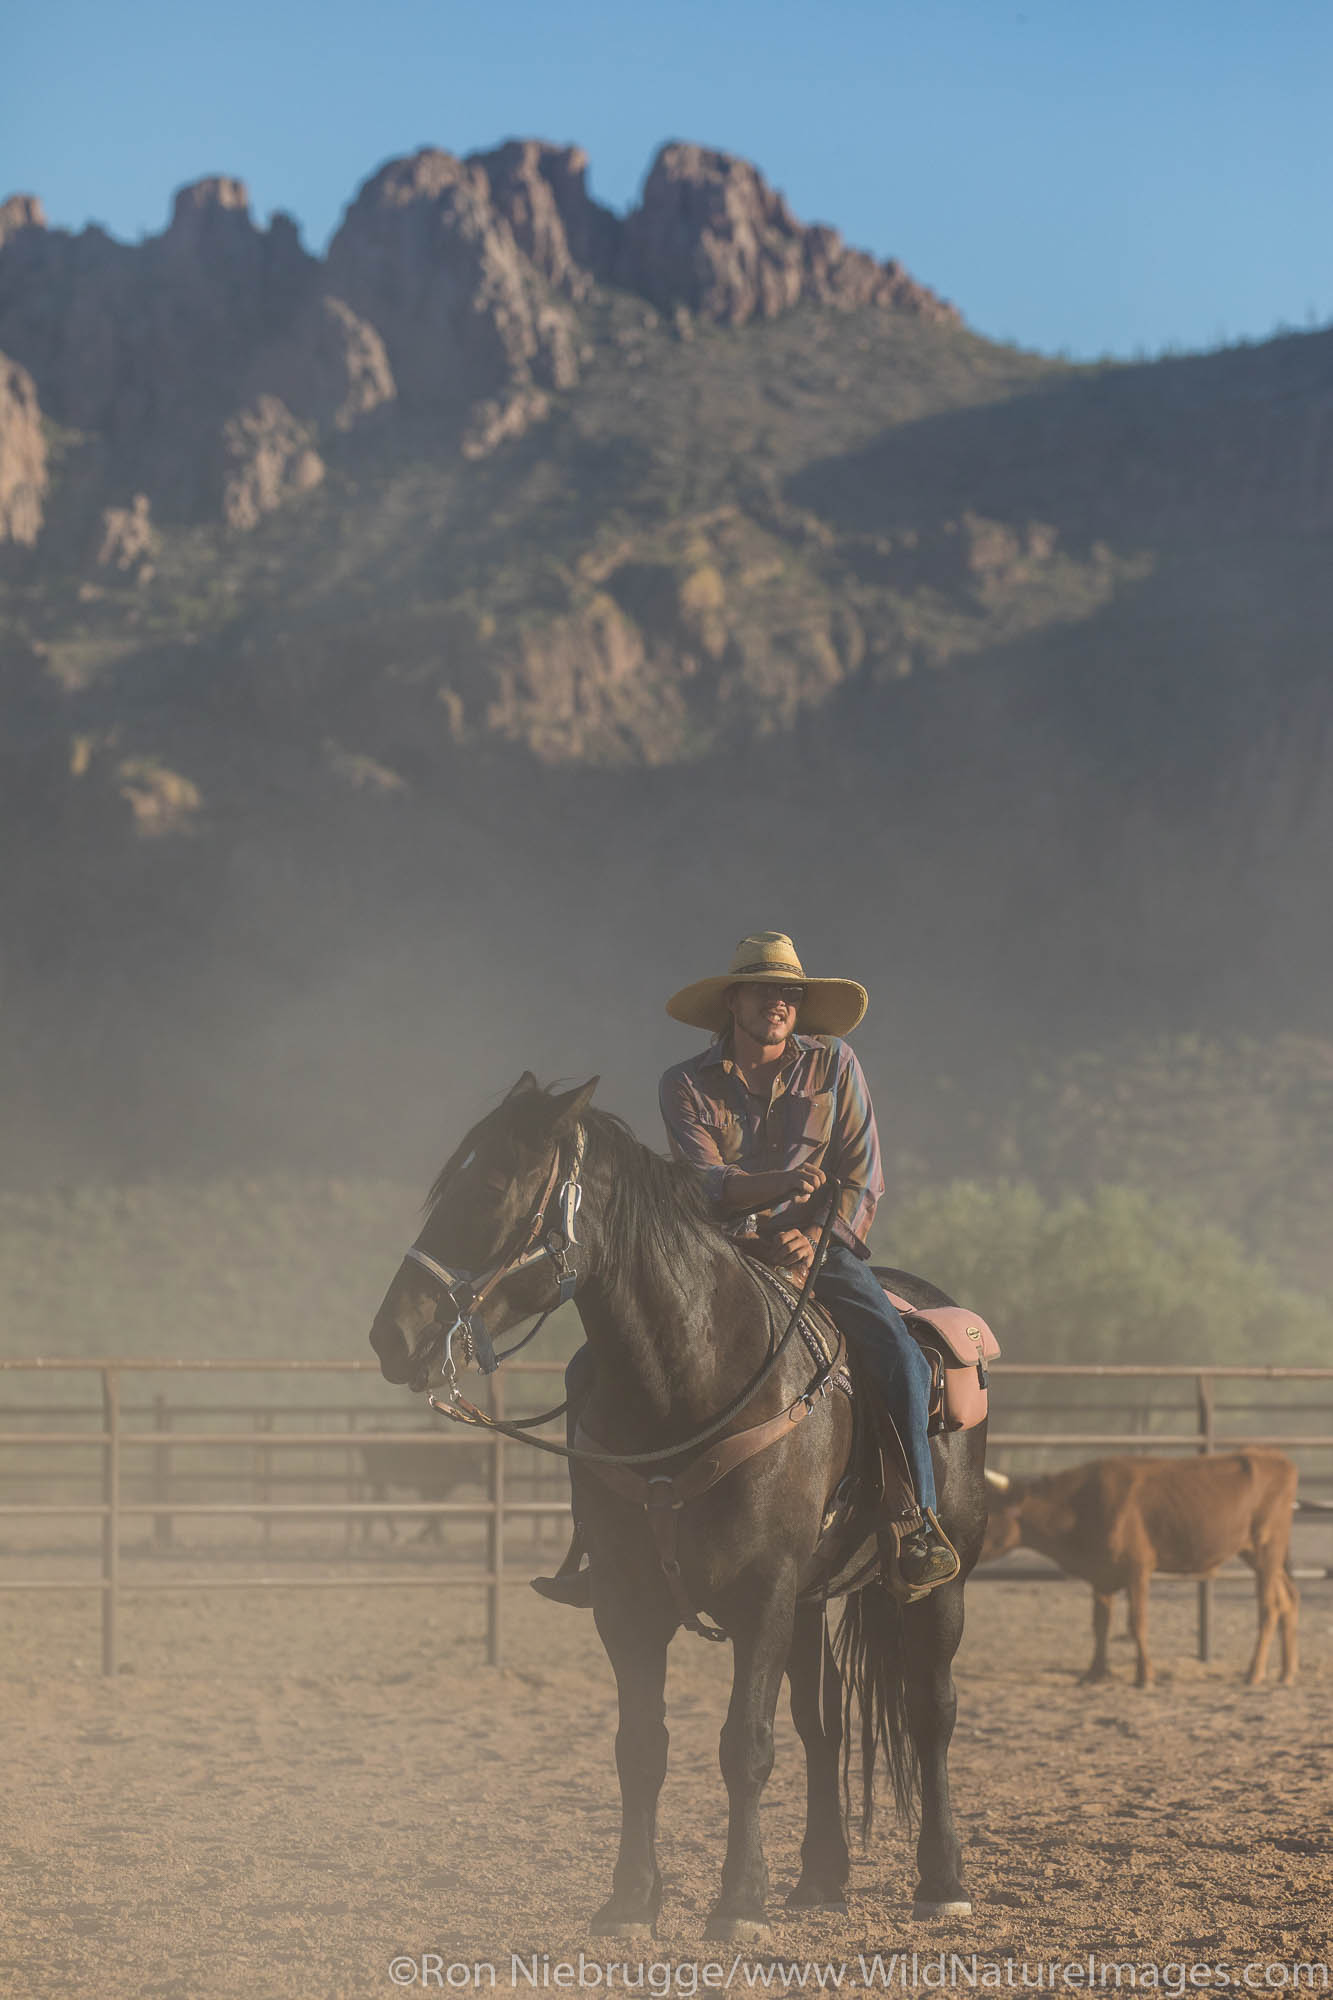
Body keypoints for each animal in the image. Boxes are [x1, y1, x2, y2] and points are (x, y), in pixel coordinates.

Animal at [368, 1080, 980, 1936]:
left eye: (488, 1187)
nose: (391, 1336)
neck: (693, 1378)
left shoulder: (761, 1594)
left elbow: (744, 1745)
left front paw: (739, 1901)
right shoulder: (628, 1602)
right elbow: (640, 1747)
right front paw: (629, 1899)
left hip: (938, 1583)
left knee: (930, 1711)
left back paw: (940, 1879)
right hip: (810, 1600)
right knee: (820, 1723)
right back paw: (820, 1880)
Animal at [980, 1456, 1288, 1688]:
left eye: (989, 1512)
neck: (1083, 1505)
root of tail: (1276, 1459)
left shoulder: (1137, 1569)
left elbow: (1136, 1622)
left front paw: (1144, 1676)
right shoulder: (1101, 1575)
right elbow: (1100, 1624)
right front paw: (1094, 1673)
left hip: (1267, 1551)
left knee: (1269, 1608)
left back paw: (1255, 1673)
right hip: (1260, 1557)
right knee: (1288, 1602)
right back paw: (1287, 1673)